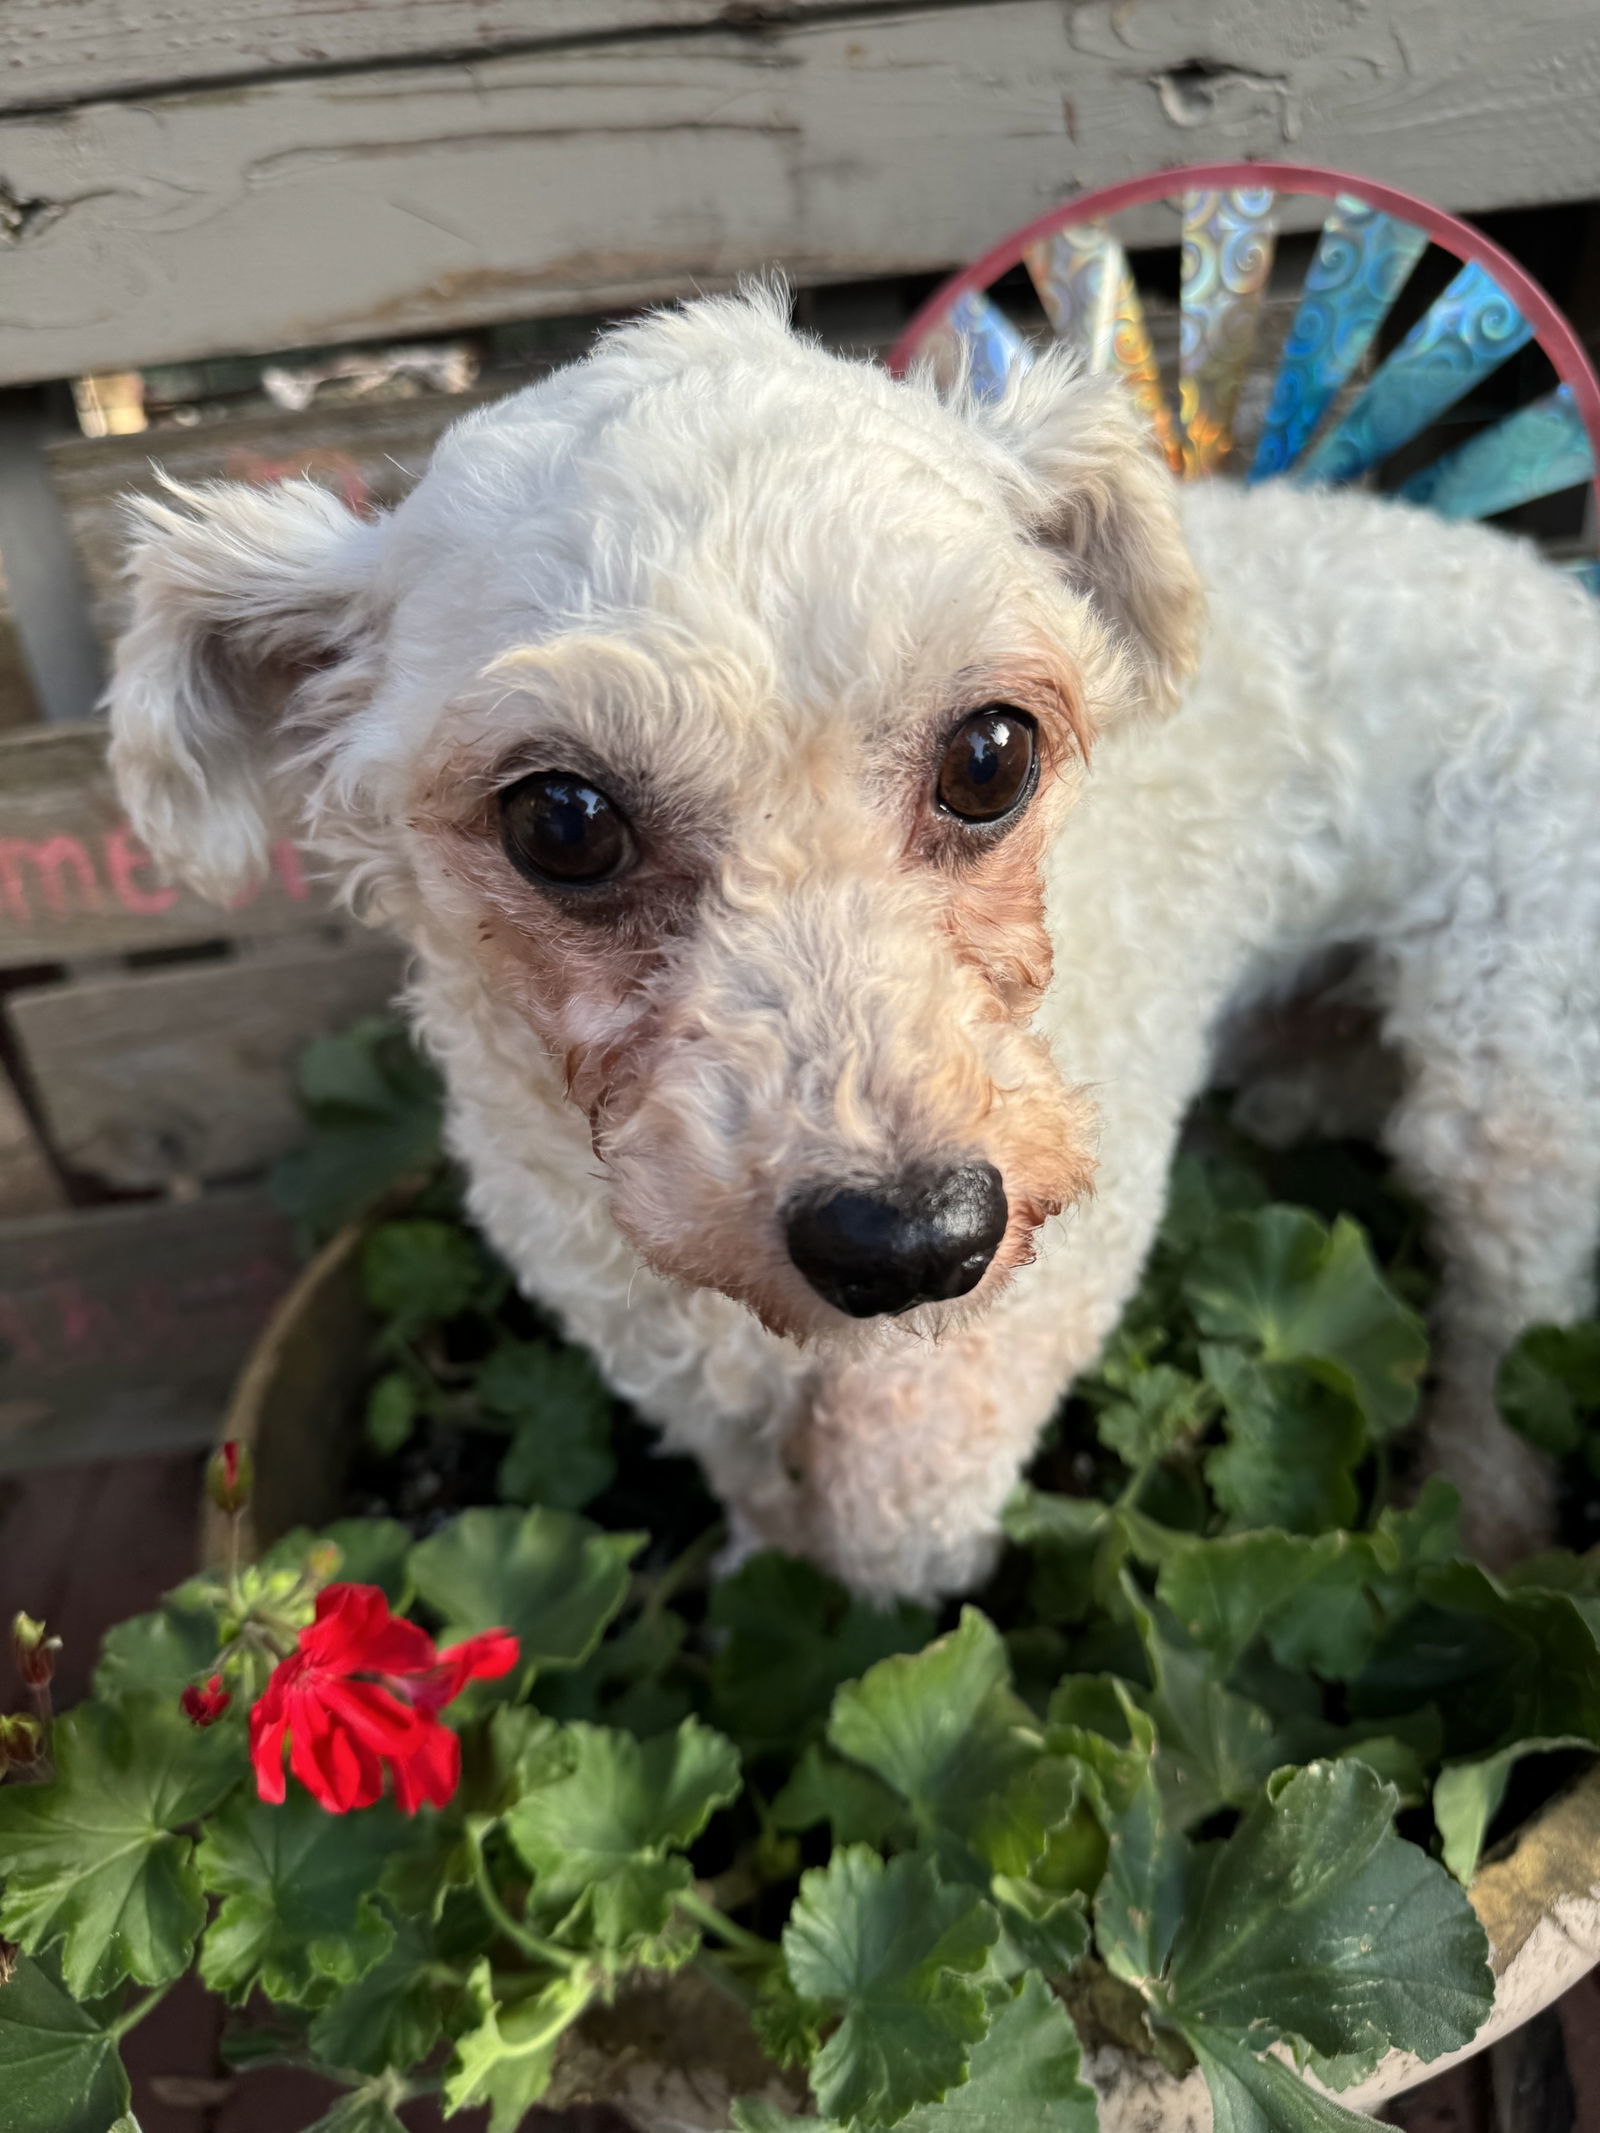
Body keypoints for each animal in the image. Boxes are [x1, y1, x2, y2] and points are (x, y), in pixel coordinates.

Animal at [109, 296, 1600, 1604]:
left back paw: (1478, 1530)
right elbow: (758, 1488)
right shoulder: (646, 1321)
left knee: (1508, 1328)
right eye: (560, 821)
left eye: (991, 754)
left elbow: (897, 1527)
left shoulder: (1018, 1315)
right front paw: (761, 1573)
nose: (913, 1242)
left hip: (1516, 1067)